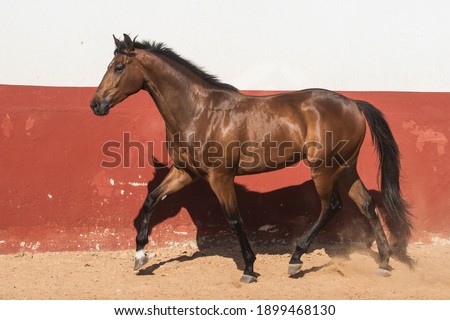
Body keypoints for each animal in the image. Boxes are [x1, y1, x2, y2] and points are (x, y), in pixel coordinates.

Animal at [90, 34, 412, 282]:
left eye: (119, 67)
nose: (96, 104)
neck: (199, 111)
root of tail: (353, 103)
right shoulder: (185, 172)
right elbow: (151, 200)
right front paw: (140, 256)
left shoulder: (220, 177)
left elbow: (234, 220)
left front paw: (248, 268)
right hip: (344, 168)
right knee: (366, 204)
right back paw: (384, 263)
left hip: (324, 168)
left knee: (331, 206)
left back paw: (296, 259)